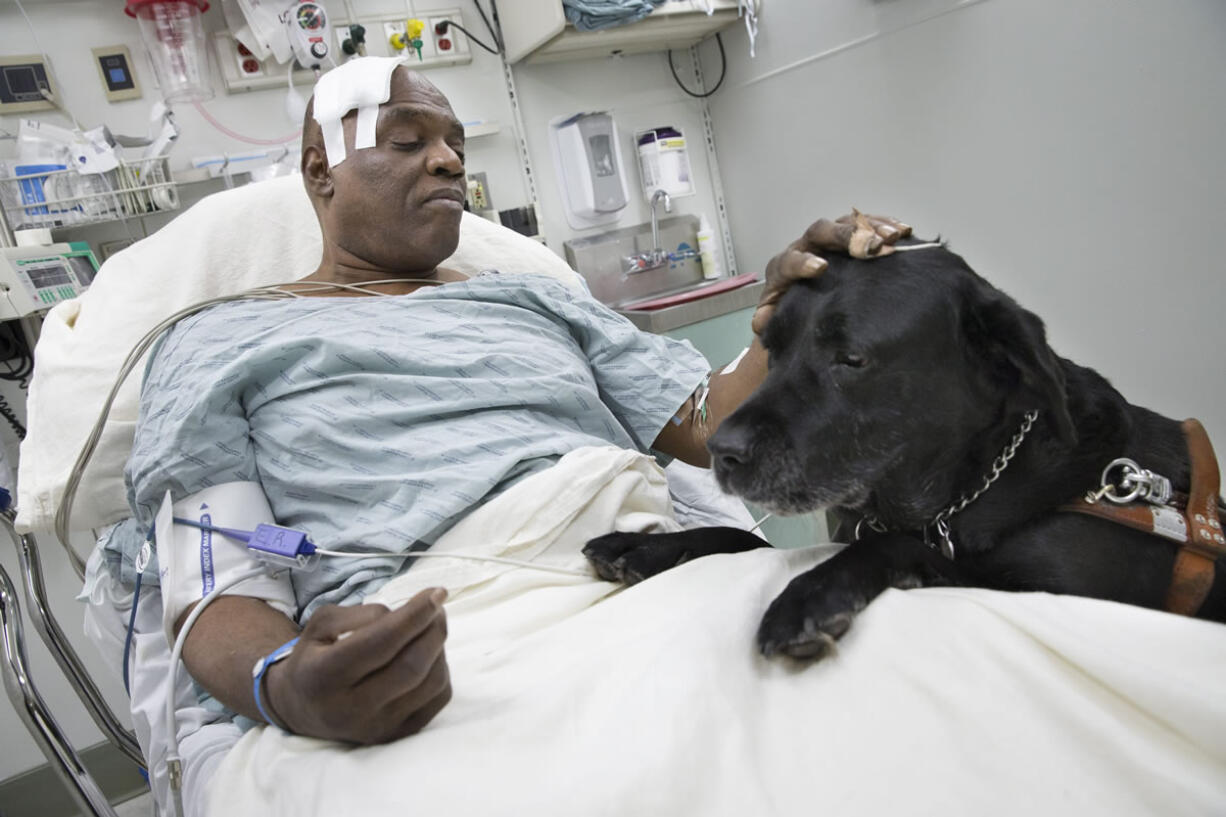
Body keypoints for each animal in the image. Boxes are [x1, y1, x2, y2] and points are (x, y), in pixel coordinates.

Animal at [586, 240, 1226, 657]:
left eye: (851, 358)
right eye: (770, 348)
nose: (723, 450)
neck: (967, 489)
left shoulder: (1062, 598)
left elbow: (902, 548)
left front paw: (810, 593)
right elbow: (742, 538)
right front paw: (644, 545)